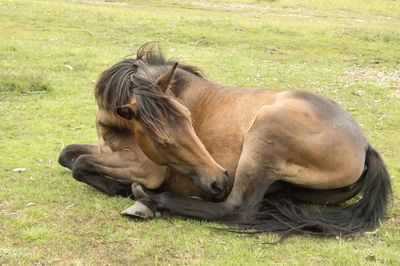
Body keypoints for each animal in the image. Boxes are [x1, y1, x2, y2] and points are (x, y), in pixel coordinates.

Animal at [58, 42, 390, 236]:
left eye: (190, 120)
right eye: (163, 140)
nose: (218, 179)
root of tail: (365, 146)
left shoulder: (146, 169)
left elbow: (80, 163)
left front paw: (120, 187)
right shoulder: (107, 149)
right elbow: (67, 155)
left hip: (263, 137)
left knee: (236, 209)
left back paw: (148, 201)